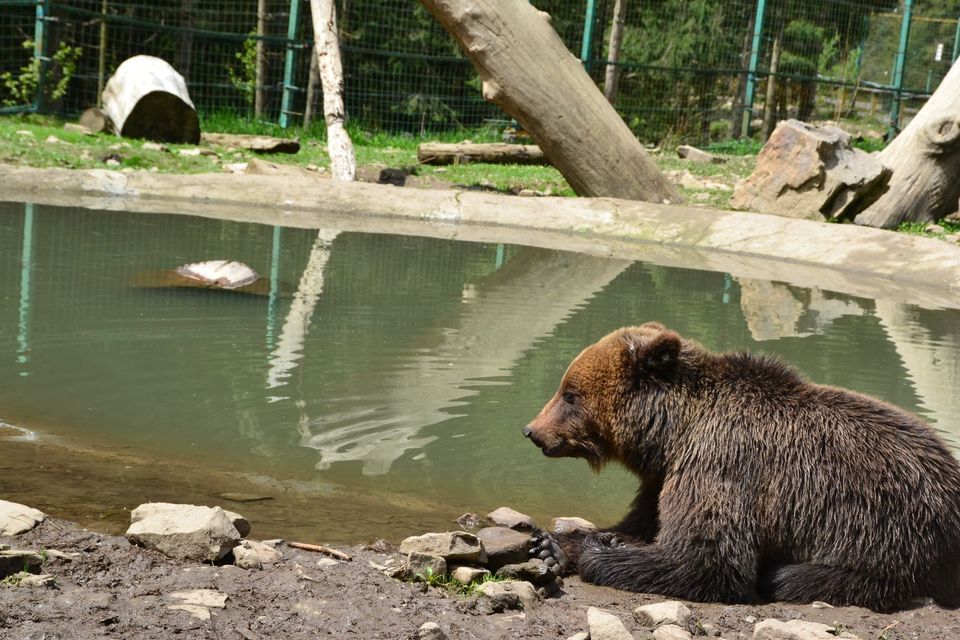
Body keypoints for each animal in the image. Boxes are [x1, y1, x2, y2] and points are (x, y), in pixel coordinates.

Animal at [520, 322, 960, 612]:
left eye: (570, 394)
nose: (532, 430)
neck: (674, 432)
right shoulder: (664, 476)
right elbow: (643, 522)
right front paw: (556, 543)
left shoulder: (721, 461)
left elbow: (707, 560)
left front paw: (593, 549)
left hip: (889, 526)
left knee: (808, 576)